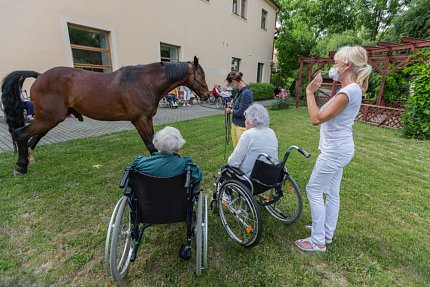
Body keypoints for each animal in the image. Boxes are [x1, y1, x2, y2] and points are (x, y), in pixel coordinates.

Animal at [1, 55, 210, 174]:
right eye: (201, 75)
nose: (207, 95)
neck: (144, 81)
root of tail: (40, 75)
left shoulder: (148, 119)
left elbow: (154, 143)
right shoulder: (140, 120)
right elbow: (151, 145)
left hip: (49, 119)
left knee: (32, 138)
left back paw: (27, 160)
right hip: (48, 118)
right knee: (21, 134)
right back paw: (21, 166)